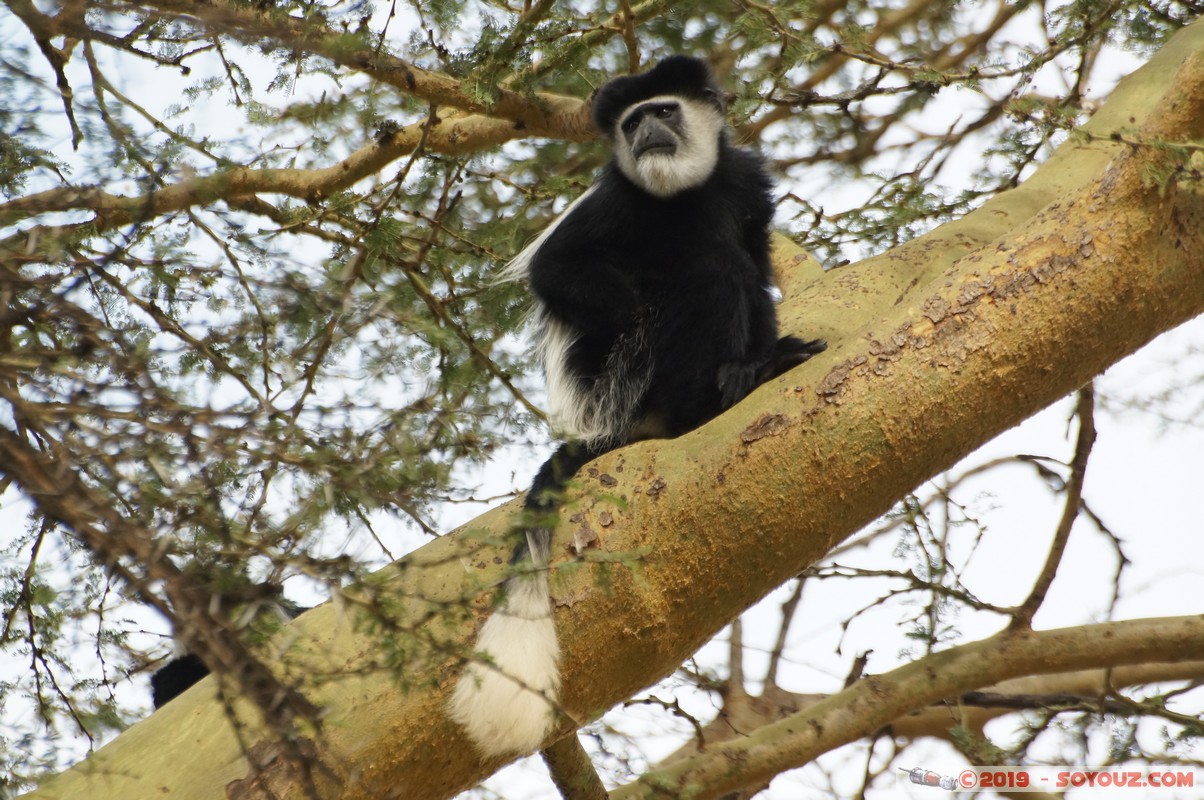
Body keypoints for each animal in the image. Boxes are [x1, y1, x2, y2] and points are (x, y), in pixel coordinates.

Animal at [448, 55, 826, 759]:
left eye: (665, 110)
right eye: (631, 122)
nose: (647, 130)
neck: (684, 195)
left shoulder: (745, 185)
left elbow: (757, 259)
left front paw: (770, 343)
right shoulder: (618, 202)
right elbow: (556, 267)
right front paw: (640, 303)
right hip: (636, 378)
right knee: (709, 270)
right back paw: (715, 395)